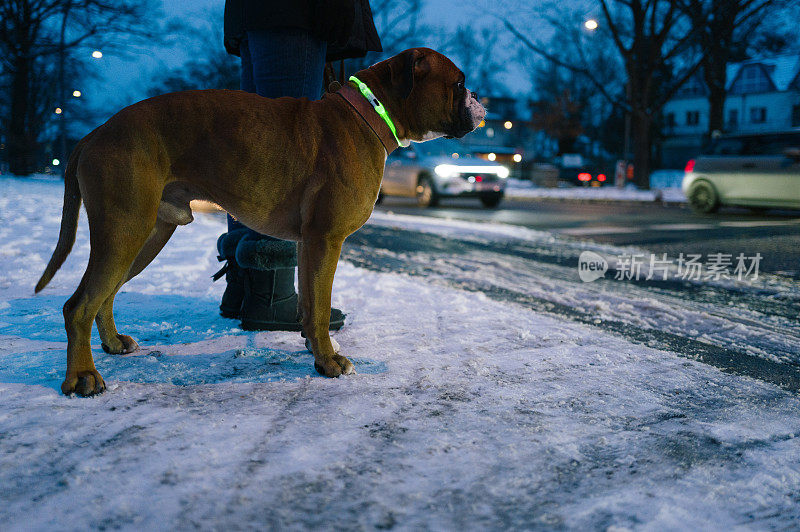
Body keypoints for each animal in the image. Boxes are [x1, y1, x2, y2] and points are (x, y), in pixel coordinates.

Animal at [34, 47, 484, 394]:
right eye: (459, 82)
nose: (481, 99)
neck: (367, 116)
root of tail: (96, 133)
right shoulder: (326, 240)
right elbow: (320, 307)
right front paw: (329, 362)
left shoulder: (310, 245)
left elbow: (310, 304)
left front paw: (316, 351)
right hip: (125, 229)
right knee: (78, 305)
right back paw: (82, 377)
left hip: (144, 236)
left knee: (104, 295)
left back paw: (111, 344)